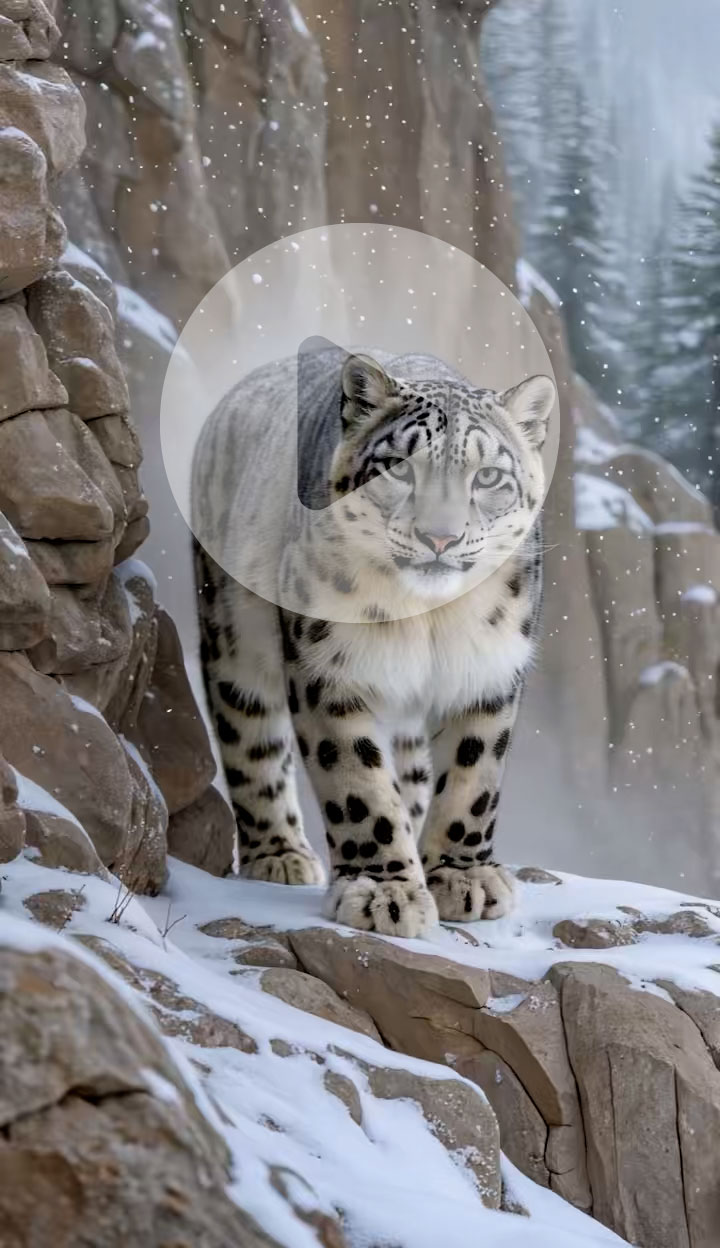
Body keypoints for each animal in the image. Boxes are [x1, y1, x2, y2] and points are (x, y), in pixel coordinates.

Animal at [191, 344, 555, 939]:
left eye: (488, 476)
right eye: (399, 467)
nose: (439, 537)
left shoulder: (489, 667)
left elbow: (474, 773)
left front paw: (462, 877)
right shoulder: (328, 666)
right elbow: (357, 783)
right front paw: (383, 891)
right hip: (233, 634)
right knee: (250, 737)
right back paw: (280, 854)